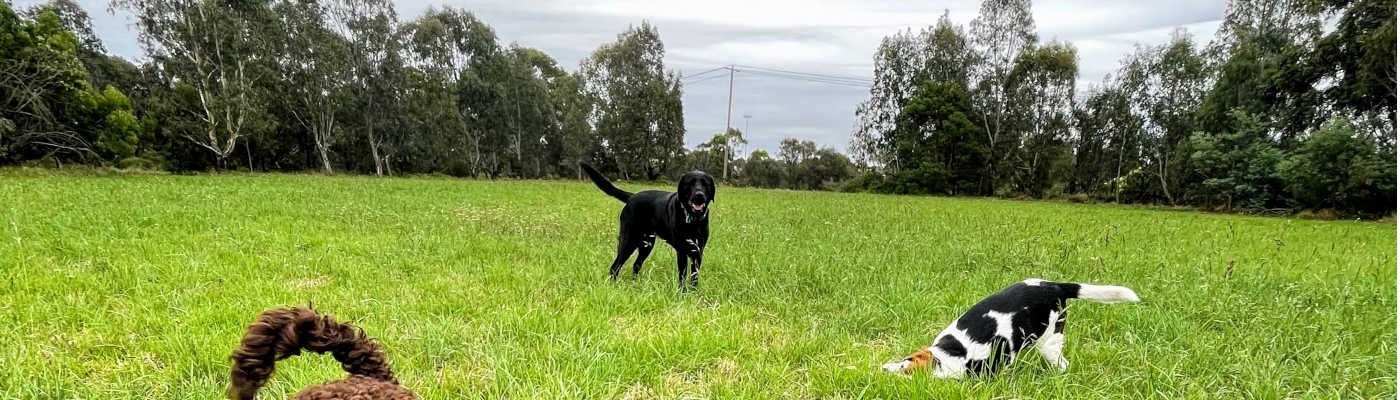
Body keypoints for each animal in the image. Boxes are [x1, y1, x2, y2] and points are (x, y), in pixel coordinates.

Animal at [579, 162, 716, 290]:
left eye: (705, 184)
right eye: (689, 183)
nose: (699, 195)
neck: (693, 220)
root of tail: (632, 196)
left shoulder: (698, 251)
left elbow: (694, 275)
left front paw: (694, 292)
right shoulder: (682, 250)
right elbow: (682, 275)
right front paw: (683, 293)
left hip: (647, 244)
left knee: (636, 264)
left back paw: (634, 284)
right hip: (629, 241)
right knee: (615, 266)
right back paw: (614, 286)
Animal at [879, 278, 1142, 377]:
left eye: (906, 372)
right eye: (904, 361)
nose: (884, 370)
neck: (954, 354)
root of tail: (1056, 286)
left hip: (1049, 342)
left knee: (1063, 364)